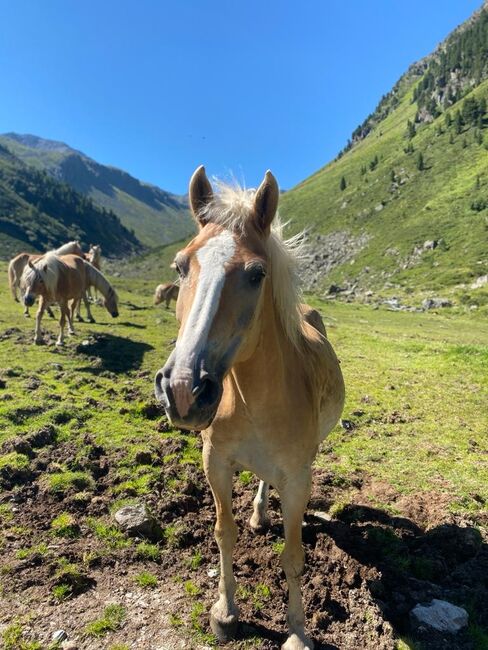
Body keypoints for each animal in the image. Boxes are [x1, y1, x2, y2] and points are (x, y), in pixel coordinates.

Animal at [154, 166, 346, 648]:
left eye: (258, 273)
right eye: (180, 266)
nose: (183, 389)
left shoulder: (298, 480)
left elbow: (293, 556)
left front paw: (297, 631)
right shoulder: (215, 462)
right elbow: (224, 533)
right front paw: (225, 613)